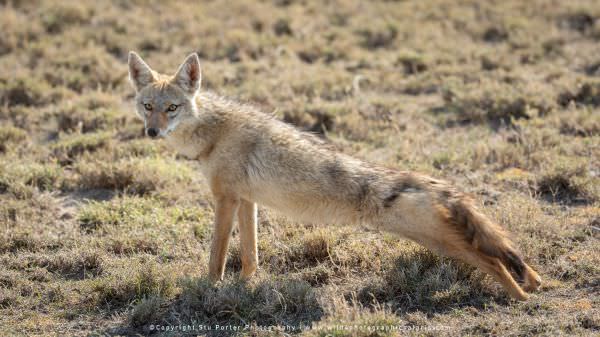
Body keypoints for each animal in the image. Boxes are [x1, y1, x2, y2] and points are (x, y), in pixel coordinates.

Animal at [125, 50, 540, 300]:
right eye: (147, 107)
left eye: (172, 108)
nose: (152, 132)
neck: (213, 132)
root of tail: (436, 184)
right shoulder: (246, 201)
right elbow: (250, 256)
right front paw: (245, 286)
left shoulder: (225, 200)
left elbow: (216, 256)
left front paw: (210, 289)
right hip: (443, 240)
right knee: (507, 255)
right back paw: (535, 283)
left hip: (440, 242)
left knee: (496, 262)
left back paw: (520, 298)